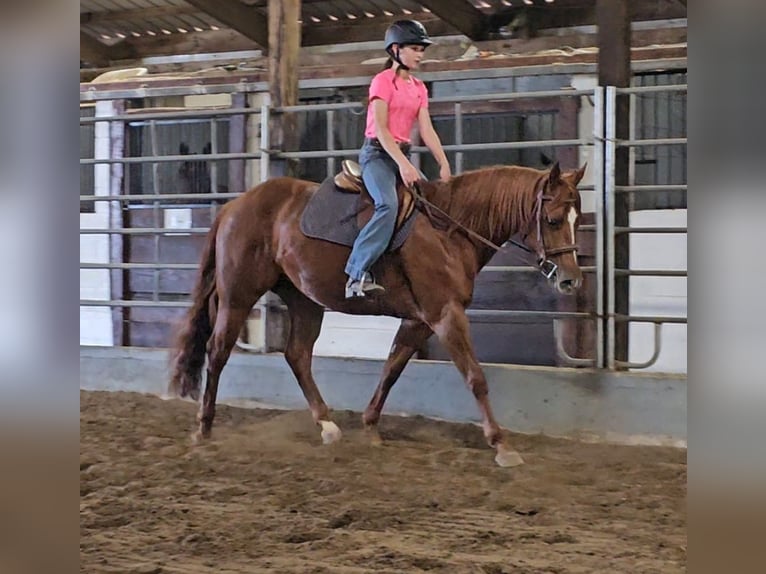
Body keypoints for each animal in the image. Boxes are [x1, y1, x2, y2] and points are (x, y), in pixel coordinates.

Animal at [170, 161, 588, 468]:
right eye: (552, 219)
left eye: (577, 219)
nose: (570, 279)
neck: (449, 230)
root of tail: (233, 206)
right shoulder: (445, 314)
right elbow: (475, 377)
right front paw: (501, 445)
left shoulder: (420, 320)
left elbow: (392, 368)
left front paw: (370, 427)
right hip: (238, 296)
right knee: (218, 351)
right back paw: (203, 429)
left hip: (304, 300)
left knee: (298, 355)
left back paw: (327, 425)